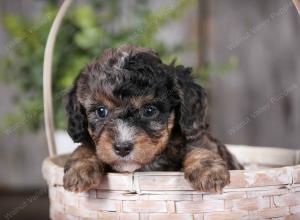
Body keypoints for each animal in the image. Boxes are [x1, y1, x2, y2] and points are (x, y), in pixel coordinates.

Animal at [62, 44, 241, 192]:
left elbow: (199, 144)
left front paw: (208, 171)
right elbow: (87, 147)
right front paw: (79, 170)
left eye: (149, 110)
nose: (122, 148)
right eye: (101, 111)